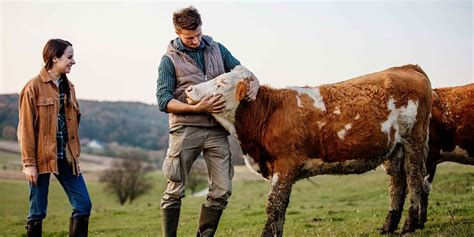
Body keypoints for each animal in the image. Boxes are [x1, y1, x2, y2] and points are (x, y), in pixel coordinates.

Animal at [184, 64, 434, 235]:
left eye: (222, 83)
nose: (189, 89)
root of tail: (407, 67)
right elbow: (280, 208)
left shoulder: (285, 164)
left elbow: (275, 205)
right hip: (393, 150)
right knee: (397, 185)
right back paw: (388, 226)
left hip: (414, 141)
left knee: (415, 181)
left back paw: (409, 226)